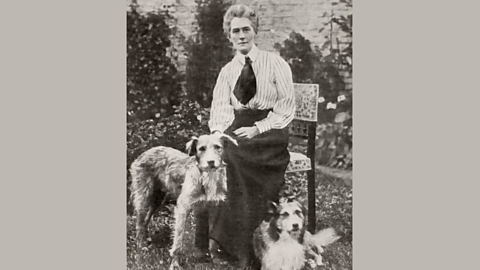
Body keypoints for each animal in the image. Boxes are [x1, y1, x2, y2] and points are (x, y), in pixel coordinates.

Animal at [129, 132, 238, 268]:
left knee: (145, 221)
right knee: (139, 222)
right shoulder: (182, 208)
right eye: (201, 149)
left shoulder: (214, 208)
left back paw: (146, 240)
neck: (207, 177)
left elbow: (213, 241)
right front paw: (175, 264)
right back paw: (141, 247)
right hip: (144, 197)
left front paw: (215, 260)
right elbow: (178, 241)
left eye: (218, 147)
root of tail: (145, 152)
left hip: (157, 199)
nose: (211, 162)